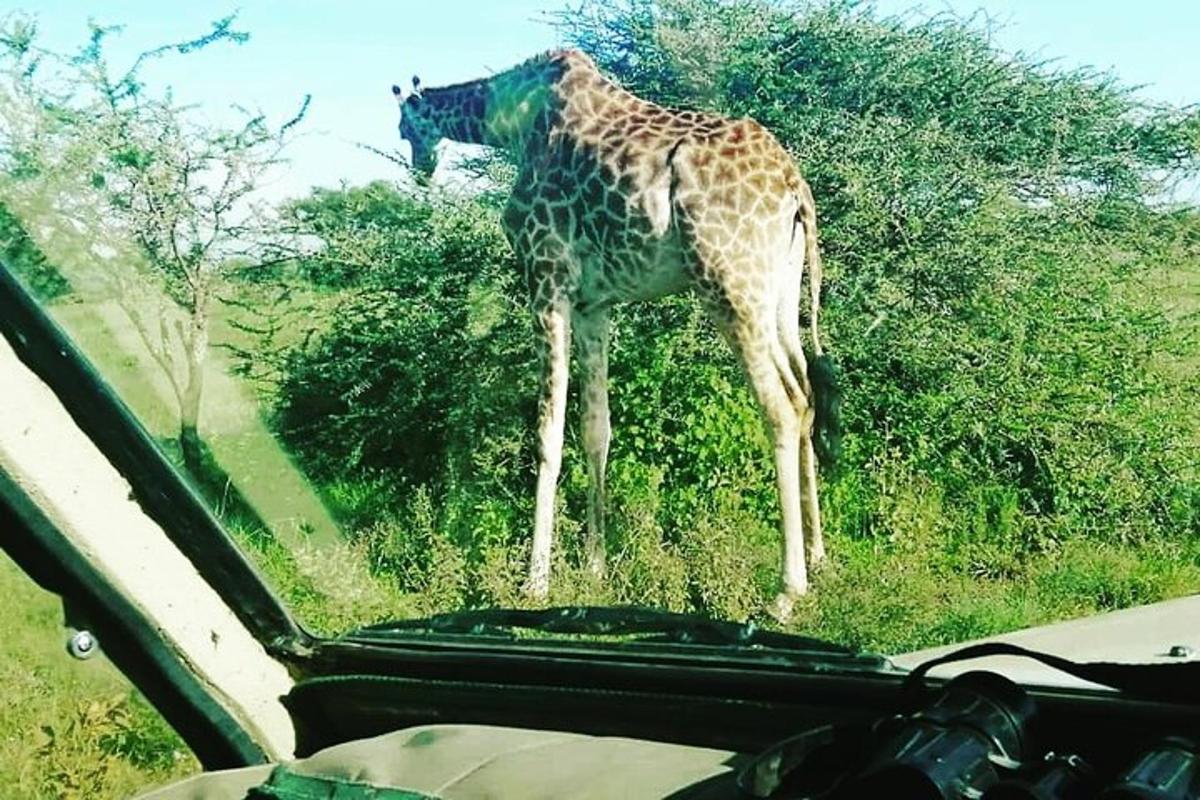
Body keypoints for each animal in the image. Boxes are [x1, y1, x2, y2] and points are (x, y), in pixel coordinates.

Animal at [391, 50, 835, 618]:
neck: (512, 123)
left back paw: (786, 590)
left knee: (780, 407)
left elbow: (548, 433)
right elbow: (596, 429)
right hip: (778, 293)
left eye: (404, 127)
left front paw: (536, 581)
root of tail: (794, 186)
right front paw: (594, 567)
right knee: (805, 394)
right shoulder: (594, 304)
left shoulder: (547, 278)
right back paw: (819, 558)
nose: (420, 168)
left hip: (729, 285)